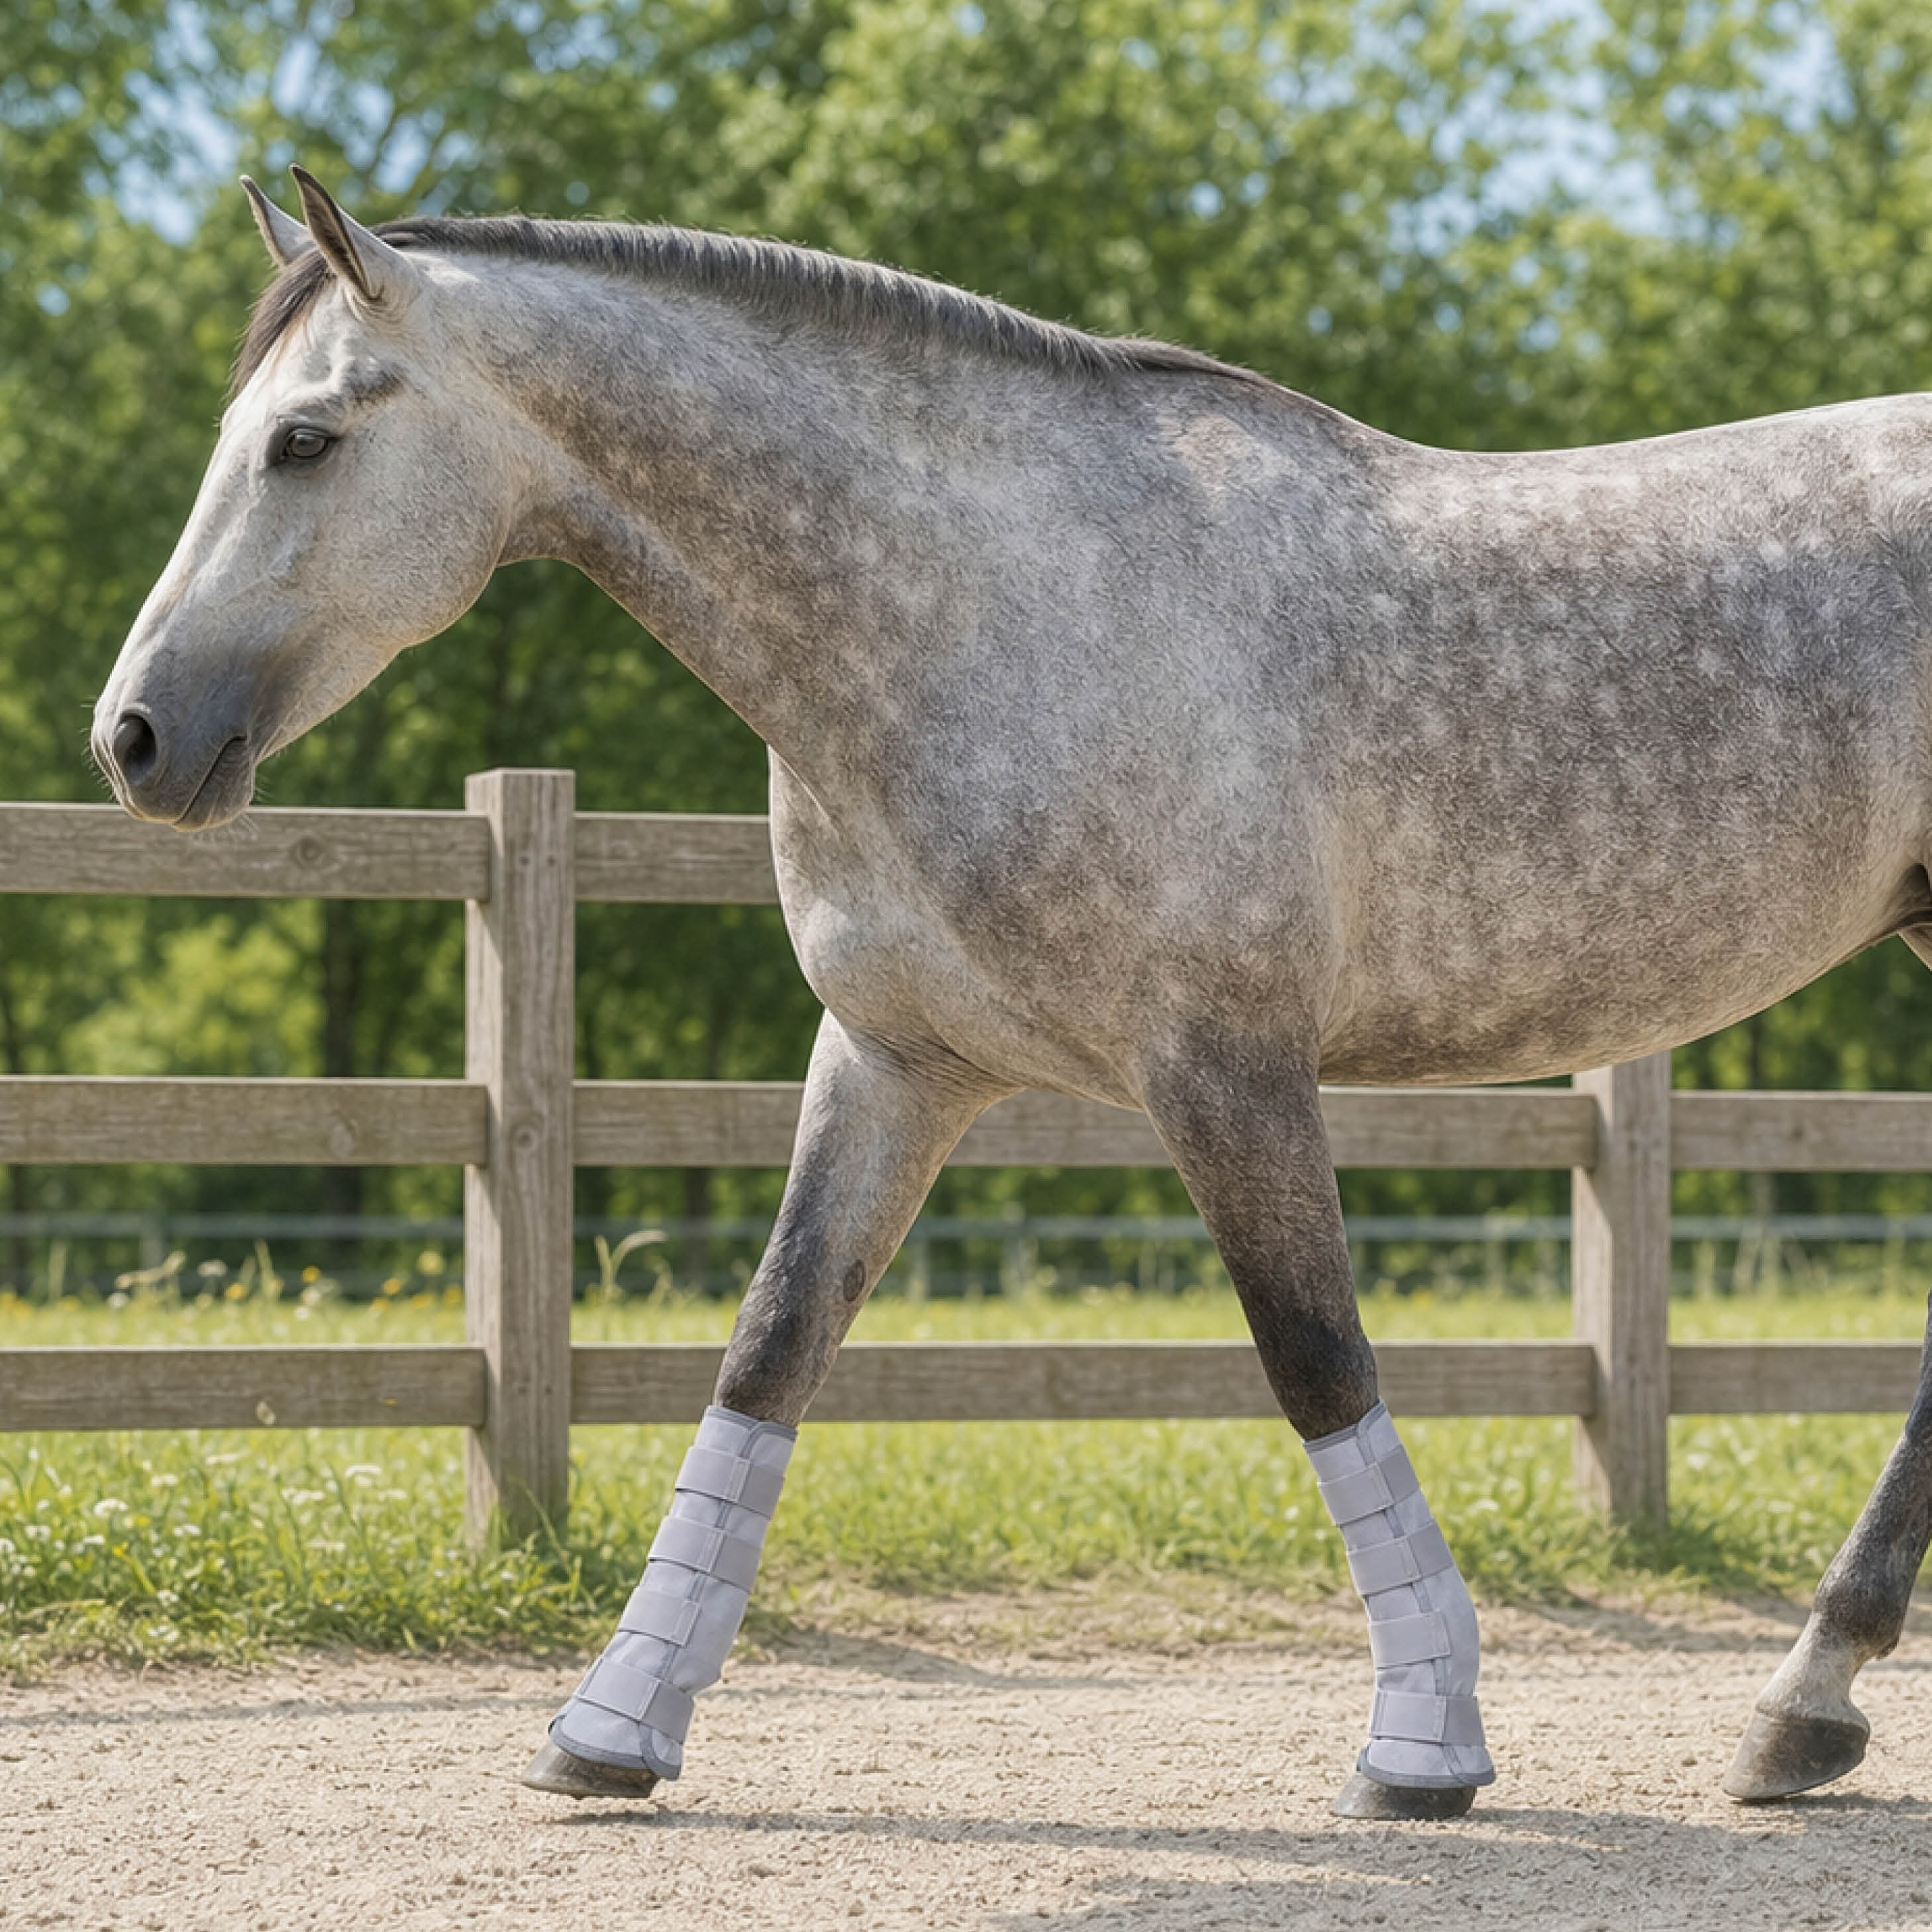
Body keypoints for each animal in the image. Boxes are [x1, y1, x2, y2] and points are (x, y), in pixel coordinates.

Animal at [93, 169, 1932, 1818]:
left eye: (305, 439)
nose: (136, 739)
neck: (995, 607)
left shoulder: (1225, 1067)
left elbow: (1313, 1359)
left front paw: (1421, 1746)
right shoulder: (892, 1062)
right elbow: (768, 1352)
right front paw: (609, 1726)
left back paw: (1796, 1701)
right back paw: (1800, 1712)